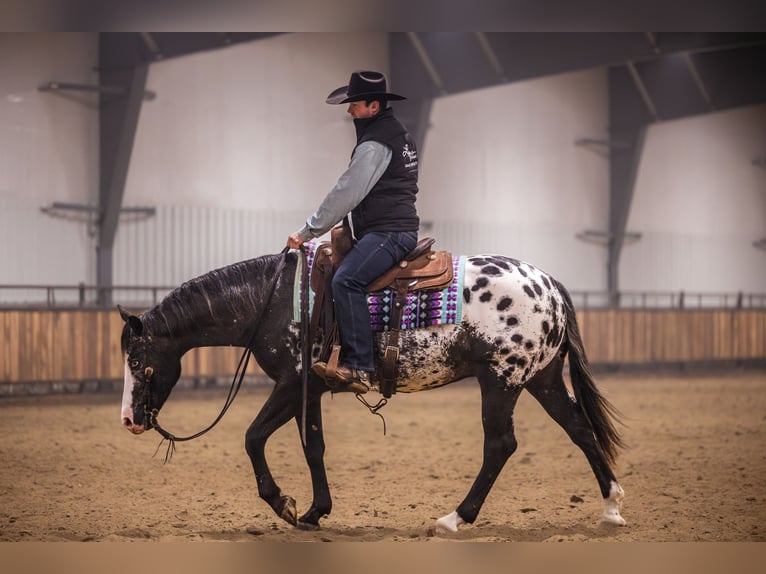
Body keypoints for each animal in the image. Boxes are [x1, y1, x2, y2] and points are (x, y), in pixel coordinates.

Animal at [119, 248, 627, 532]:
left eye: (137, 361)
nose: (128, 420)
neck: (275, 299)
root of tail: (550, 284)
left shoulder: (291, 382)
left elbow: (253, 437)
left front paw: (284, 504)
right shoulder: (310, 390)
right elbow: (314, 447)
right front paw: (314, 512)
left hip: (501, 380)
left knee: (500, 444)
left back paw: (456, 518)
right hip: (542, 378)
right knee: (580, 429)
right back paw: (611, 508)